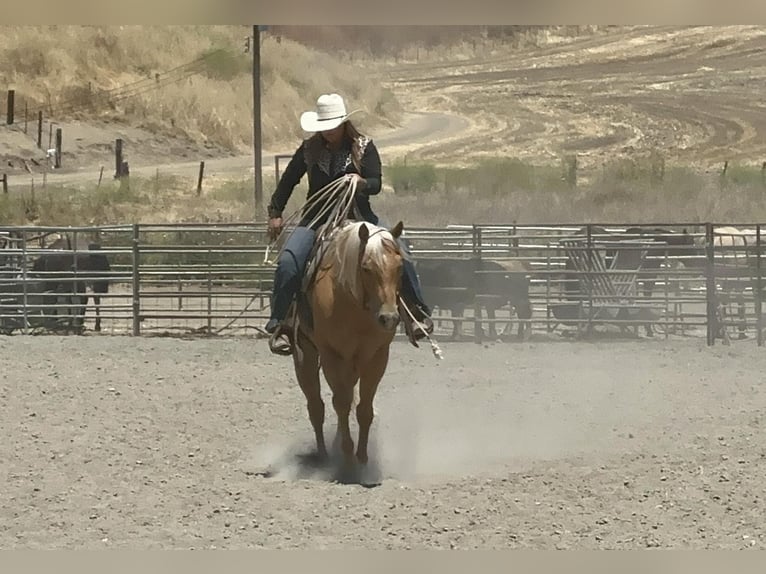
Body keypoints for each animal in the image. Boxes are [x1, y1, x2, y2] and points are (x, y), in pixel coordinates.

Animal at [288, 218, 408, 474]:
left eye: (400, 267)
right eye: (366, 268)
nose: (389, 318)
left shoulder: (377, 357)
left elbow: (364, 408)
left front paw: (361, 458)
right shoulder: (331, 355)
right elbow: (341, 403)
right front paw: (348, 457)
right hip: (305, 354)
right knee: (317, 406)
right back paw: (324, 455)